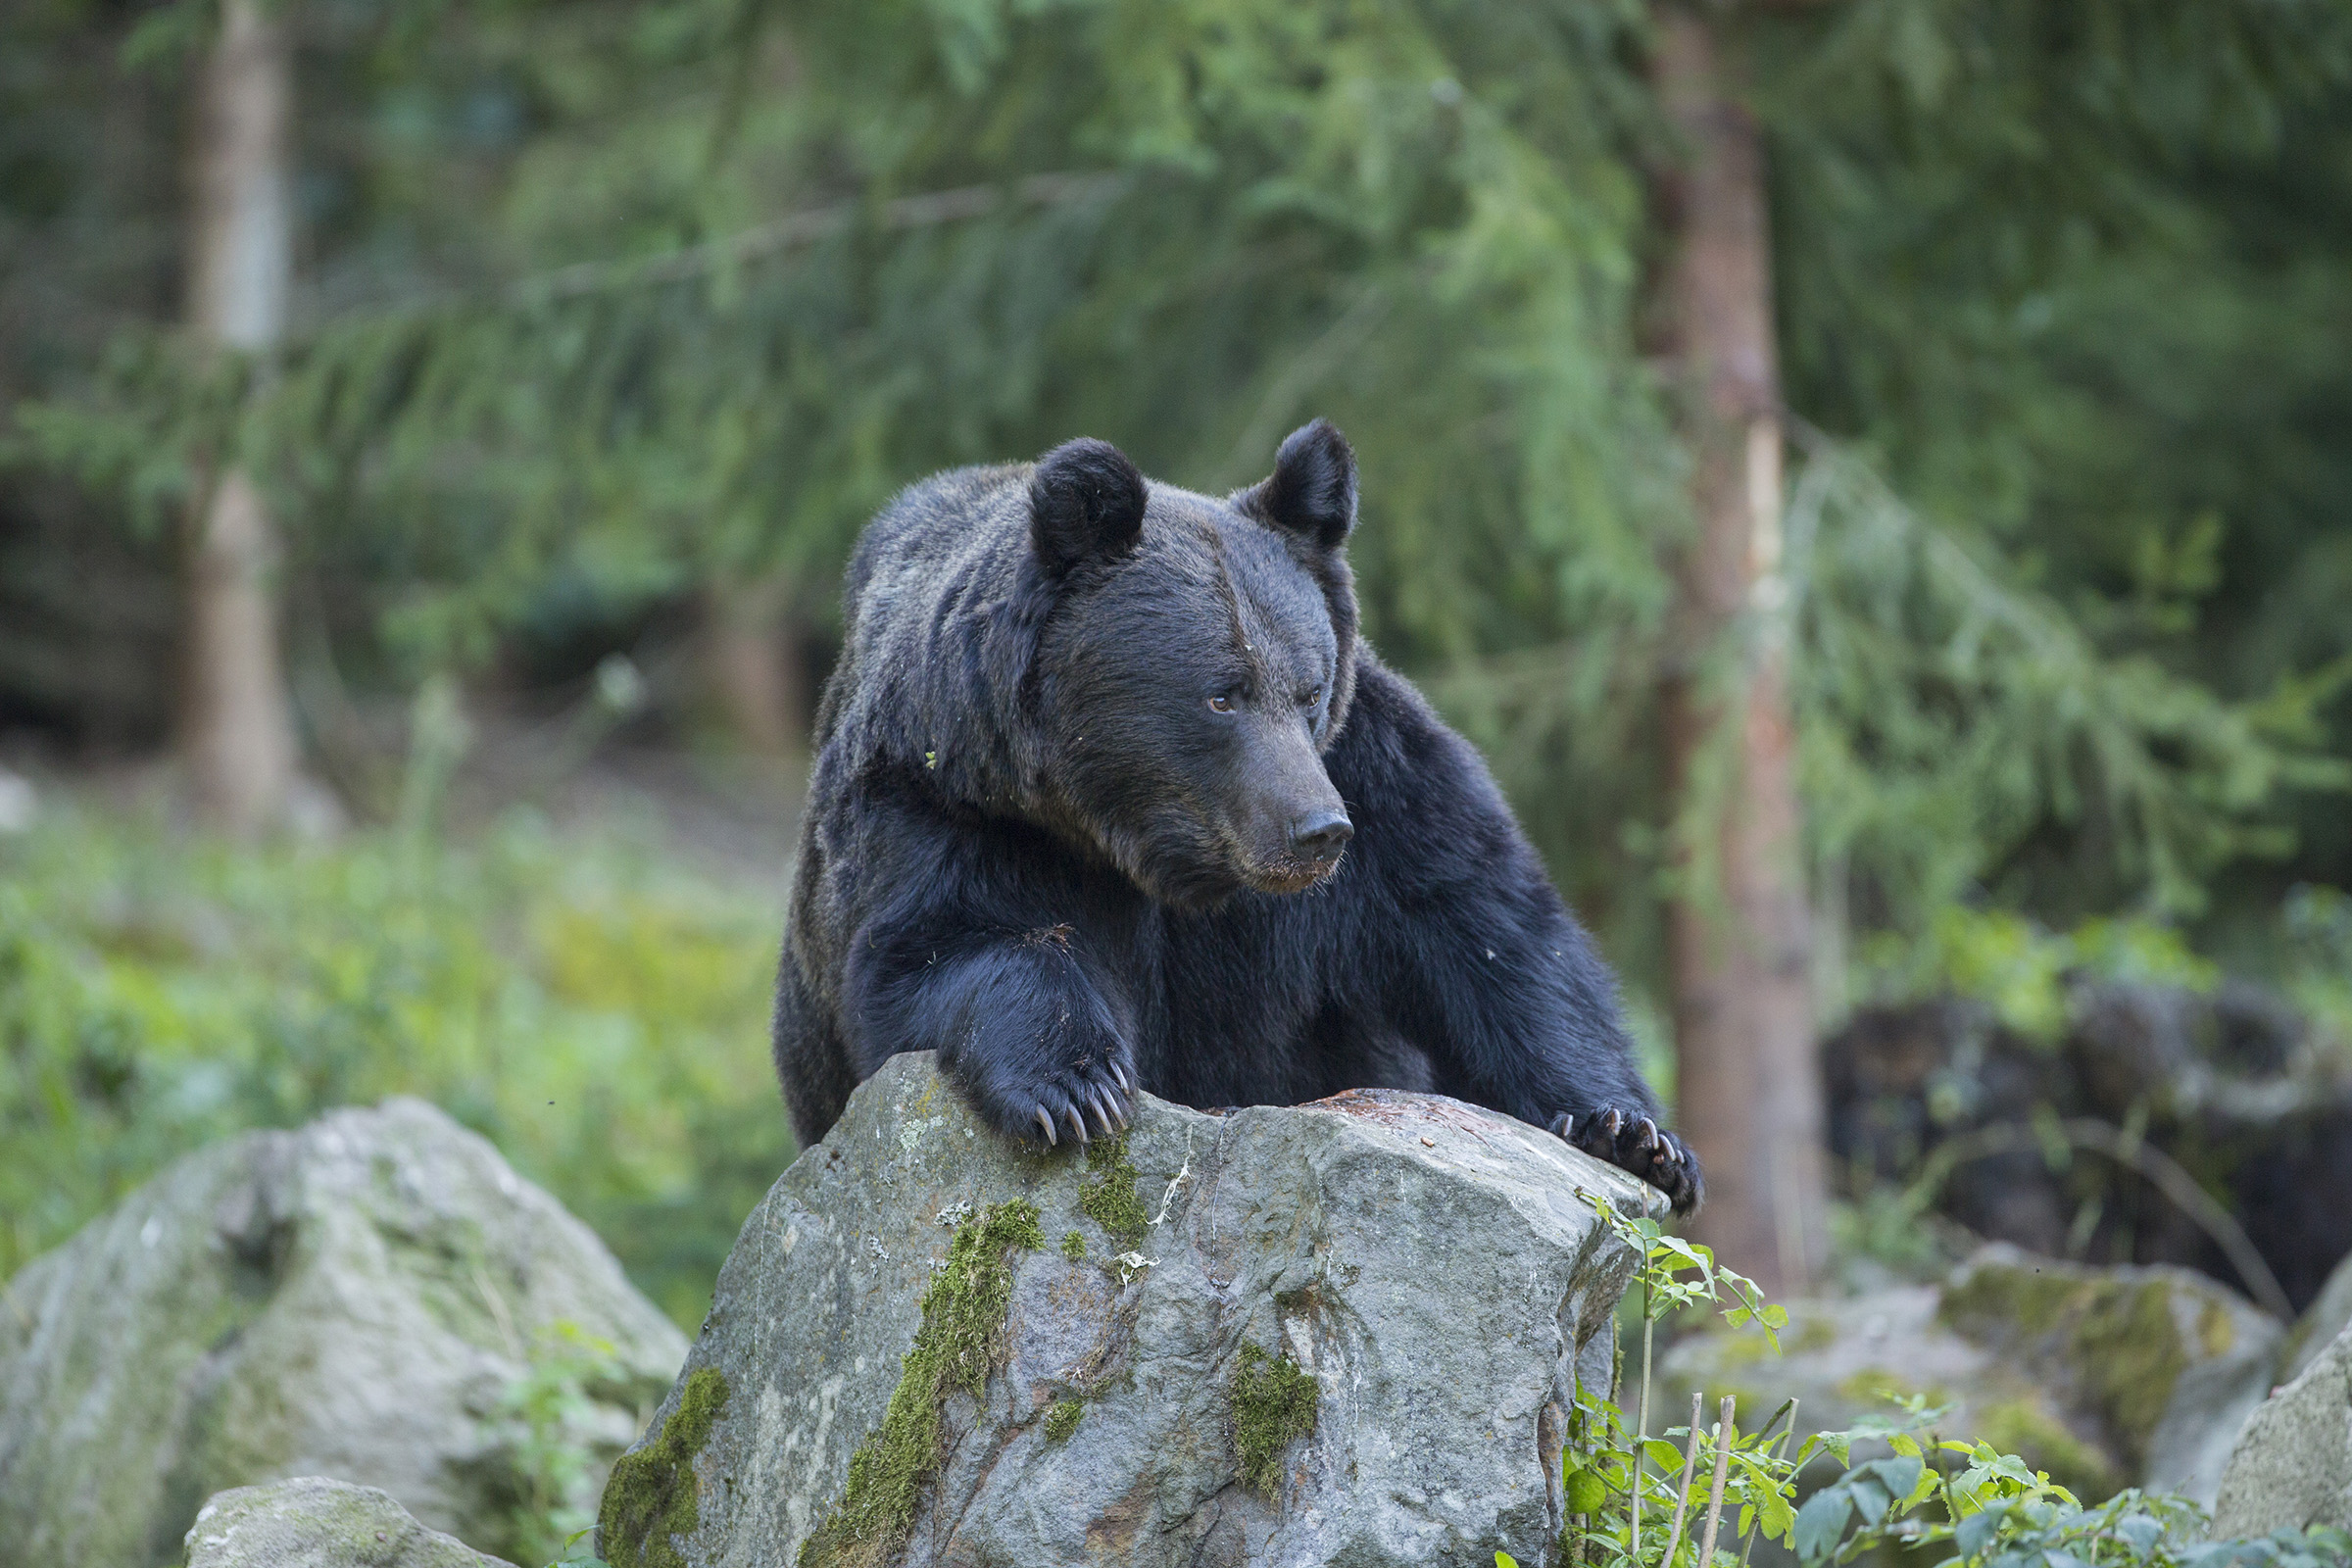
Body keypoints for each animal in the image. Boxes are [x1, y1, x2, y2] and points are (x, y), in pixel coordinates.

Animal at [772, 419, 1701, 1213]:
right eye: (1222, 693)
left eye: (1308, 687)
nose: (1317, 831)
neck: (1154, 848)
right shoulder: (944, 804)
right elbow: (941, 946)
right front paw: (1078, 1086)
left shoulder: (1377, 779)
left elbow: (1494, 931)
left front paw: (1634, 1134)